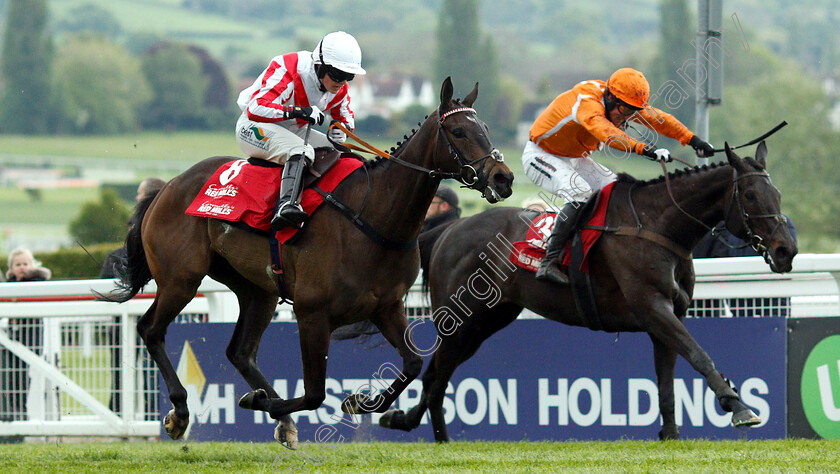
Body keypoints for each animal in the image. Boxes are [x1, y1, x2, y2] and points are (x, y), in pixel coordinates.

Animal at [103, 78, 512, 448]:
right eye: (459, 131)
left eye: (486, 129)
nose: (503, 178)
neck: (373, 218)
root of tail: (166, 187)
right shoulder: (312, 314)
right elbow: (315, 393)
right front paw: (265, 403)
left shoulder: (387, 306)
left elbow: (412, 364)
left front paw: (361, 401)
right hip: (181, 279)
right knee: (151, 330)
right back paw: (181, 412)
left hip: (258, 291)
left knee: (240, 352)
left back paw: (280, 420)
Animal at [378, 143, 796, 442]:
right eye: (752, 197)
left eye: (777, 194)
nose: (786, 250)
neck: (658, 227)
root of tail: (450, 230)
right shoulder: (653, 308)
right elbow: (699, 354)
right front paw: (738, 406)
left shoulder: (667, 318)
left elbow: (667, 382)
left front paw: (671, 434)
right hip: (462, 321)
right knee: (435, 378)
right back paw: (424, 431)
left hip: (486, 322)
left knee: (437, 377)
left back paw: (414, 425)